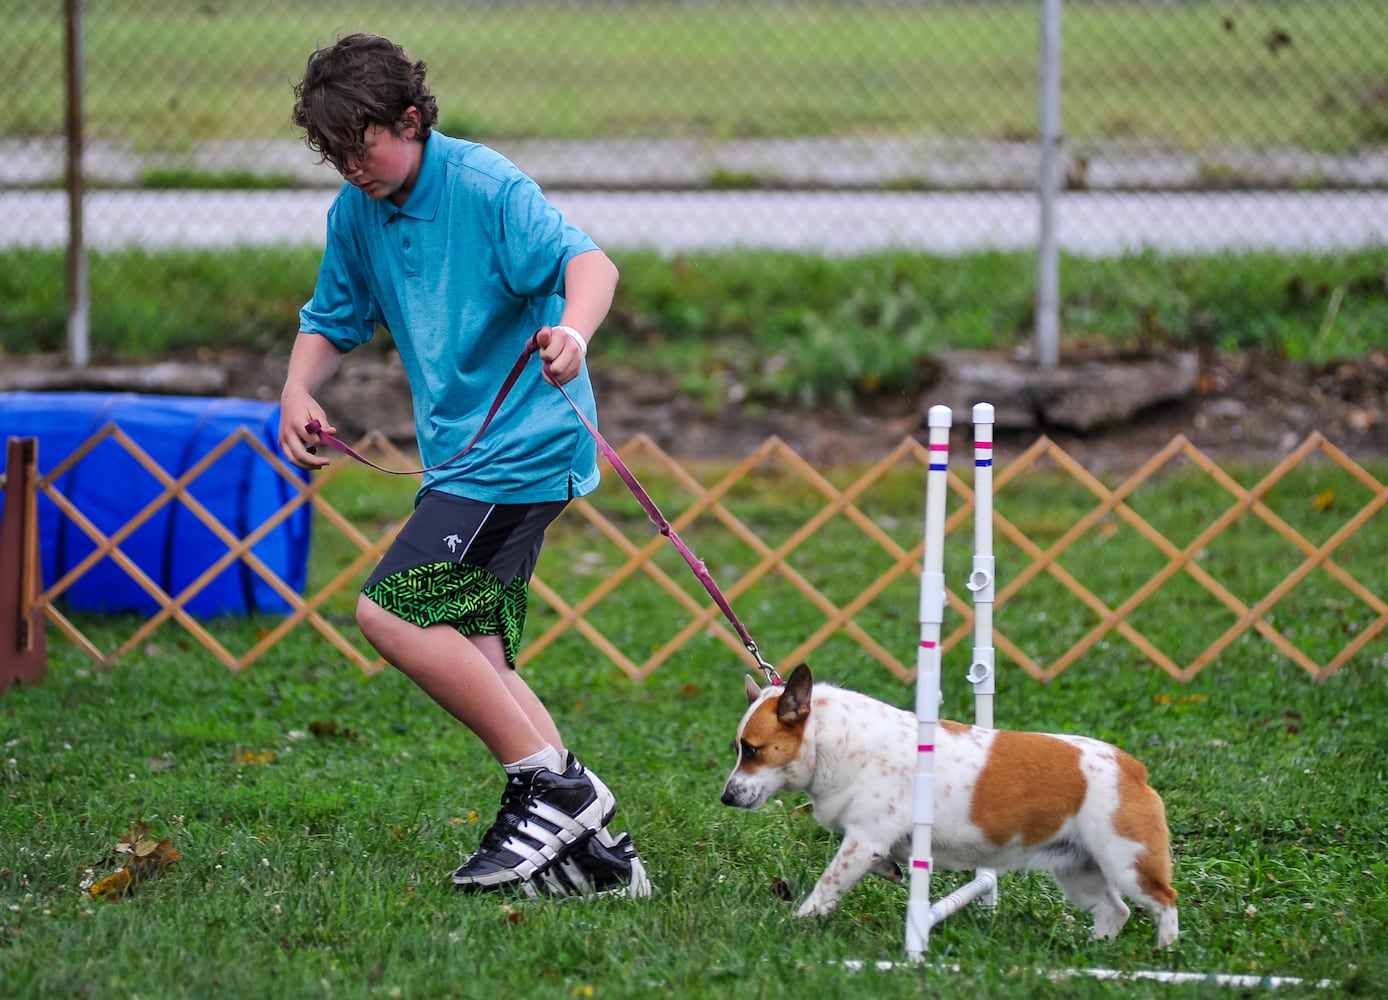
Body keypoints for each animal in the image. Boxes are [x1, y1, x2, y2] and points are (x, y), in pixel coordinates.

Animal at [721, 663, 1177, 944]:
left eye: (753, 750)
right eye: (739, 749)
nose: (726, 797)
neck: (833, 741)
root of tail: (1133, 767)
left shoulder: (863, 840)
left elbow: (828, 884)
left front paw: (797, 922)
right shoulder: (866, 843)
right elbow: (875, 862)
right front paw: (889, 869)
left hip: (1128, 863)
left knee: (1165, 900)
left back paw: (1166, 951)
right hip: (1078, 871)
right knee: (1114, 911)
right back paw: (1094, 946)